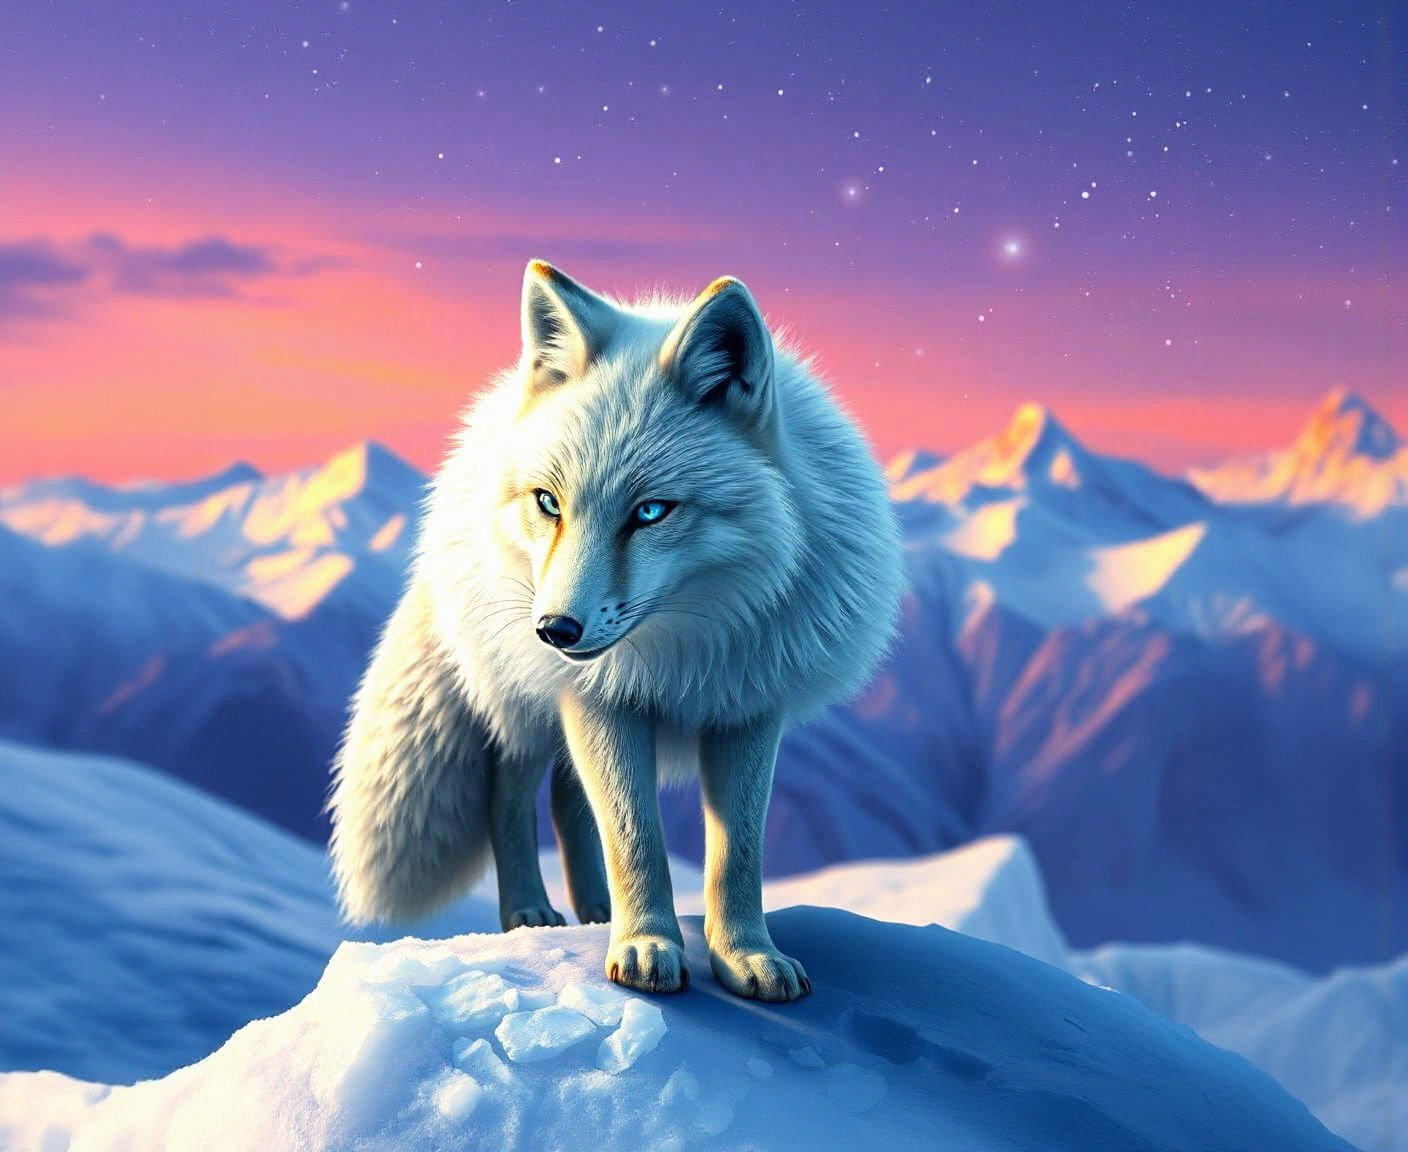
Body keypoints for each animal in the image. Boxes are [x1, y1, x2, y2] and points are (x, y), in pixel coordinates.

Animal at [328, 259, 904, 1001]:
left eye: (651, 512)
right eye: (550, 502)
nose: (555, 629)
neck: (684, 651)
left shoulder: (749, 707)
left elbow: (737, 853)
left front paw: (744, 955)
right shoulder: (597, 698)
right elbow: (634, 836)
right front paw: (646, 947)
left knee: (569, 801)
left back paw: (596, 910)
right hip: (527, 708)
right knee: (510, 795)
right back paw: (531, 912)